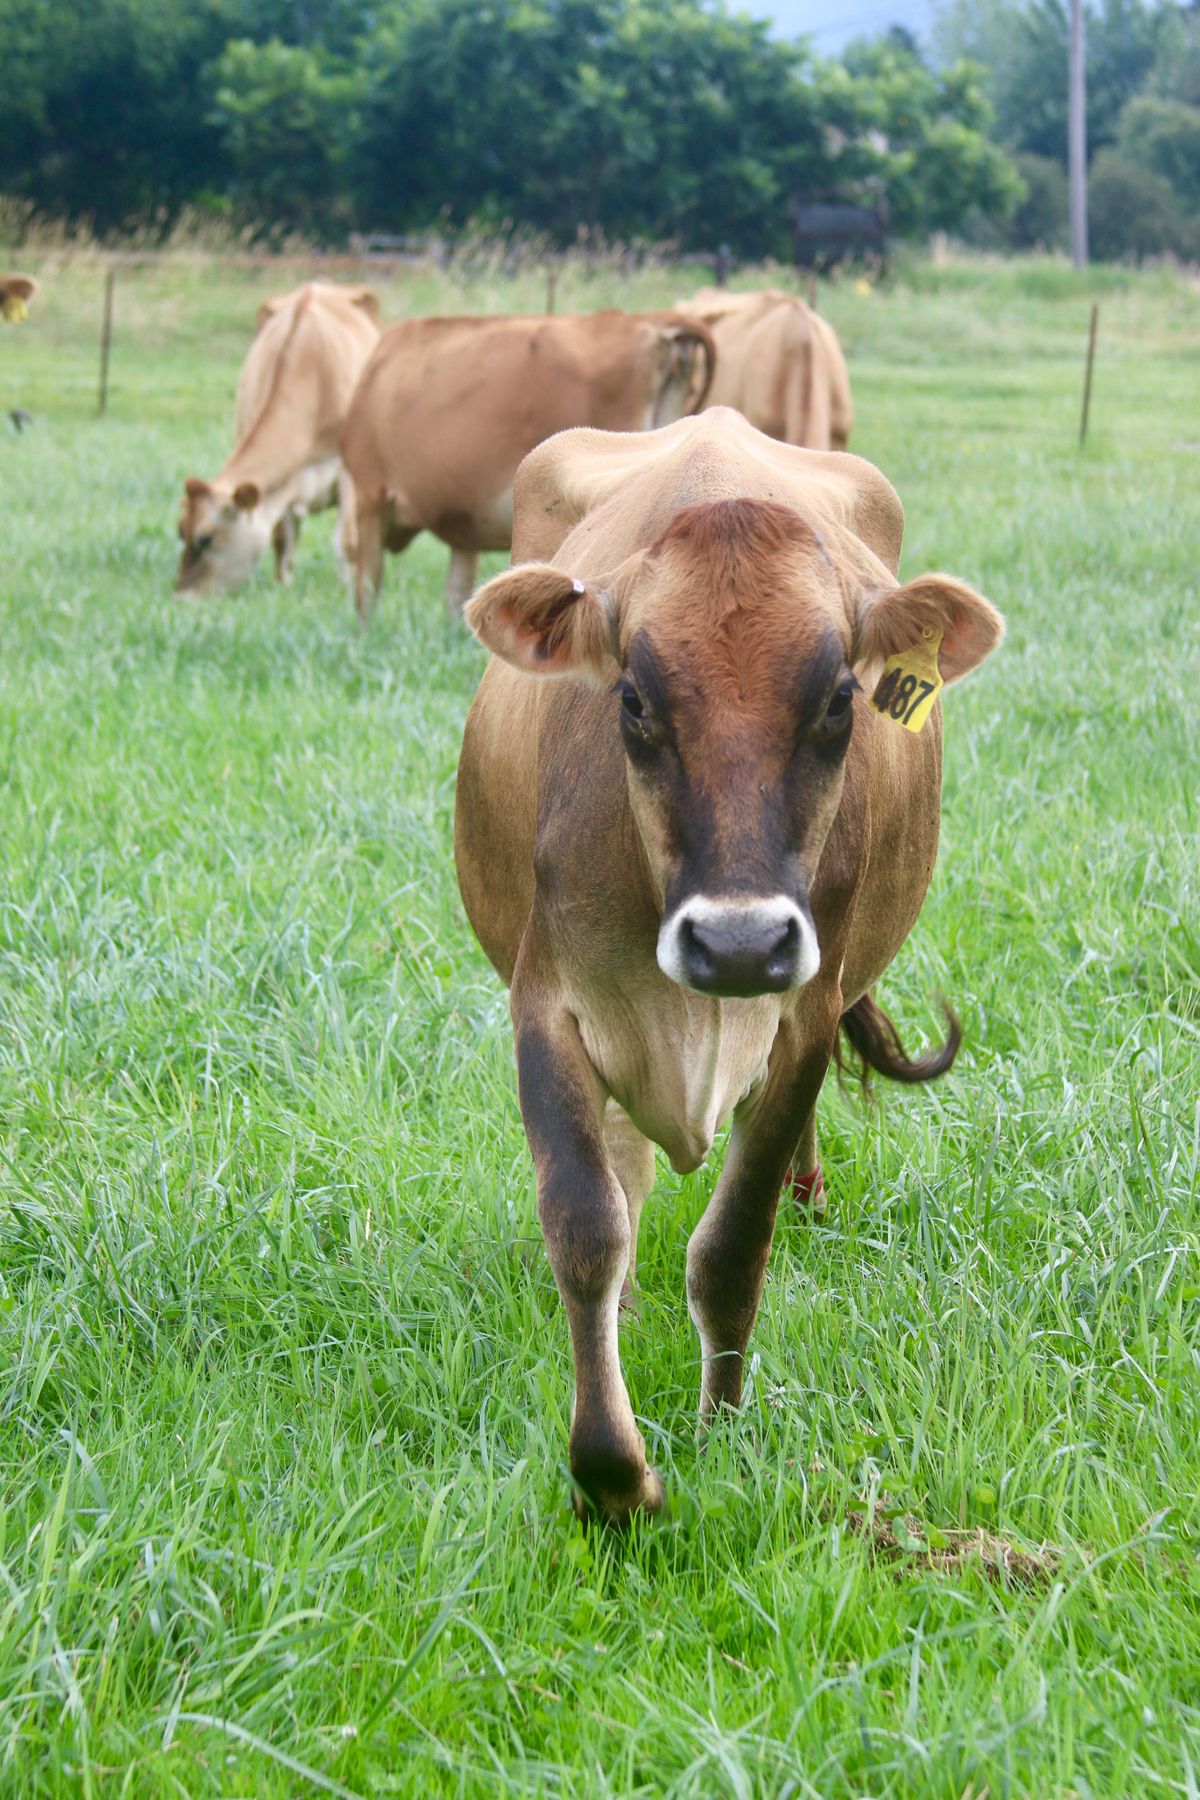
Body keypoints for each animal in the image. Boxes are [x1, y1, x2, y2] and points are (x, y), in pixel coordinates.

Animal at [173, 277, 377, 594]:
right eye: (180, 531)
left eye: (205, 537)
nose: (181, 595)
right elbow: (281, 535)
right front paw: (283, 585)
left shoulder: (352, 469)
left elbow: (349, 542)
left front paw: (353, 590)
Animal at [455, 405, 1000, 1519]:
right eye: (632, 698)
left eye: (839, 699)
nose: (739, 940)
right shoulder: (548, 1005)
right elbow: (588, 1228)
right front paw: (615, 1475)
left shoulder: (801, 1017)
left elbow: (732, 1248)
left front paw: (721, 1435)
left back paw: (809, 1193)